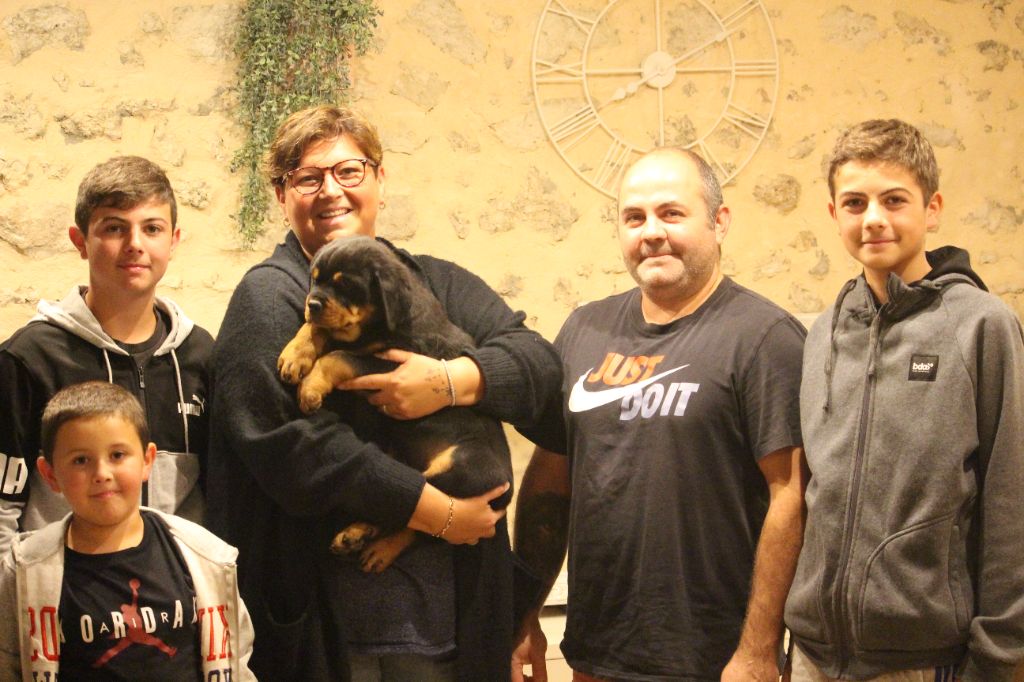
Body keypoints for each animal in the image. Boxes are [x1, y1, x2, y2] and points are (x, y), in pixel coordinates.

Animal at [277, 235, 513, 572]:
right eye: (315, 279)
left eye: (346, 284)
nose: (313, 303)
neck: (379, 323)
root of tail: (503, 499)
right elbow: (318, 329)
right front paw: (296, 355)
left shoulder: (393, 364)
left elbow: (338, 357)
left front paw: (310, 387)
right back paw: (371, 546)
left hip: (460, 467)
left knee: (412, 508)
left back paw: (361, 536)